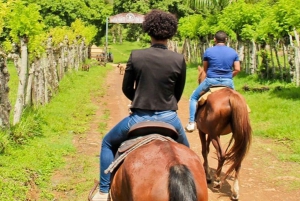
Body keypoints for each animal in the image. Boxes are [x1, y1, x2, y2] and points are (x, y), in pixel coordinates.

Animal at [196, 66, 252, 200]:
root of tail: (231, 97)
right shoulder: (212, 133)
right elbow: (207, 149)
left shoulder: (203, 131)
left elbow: (204, 150)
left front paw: (208, 175)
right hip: (236, 135)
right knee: (238, 159)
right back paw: (235, 191)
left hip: (215, 135)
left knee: (221, 155)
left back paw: (217, 180)